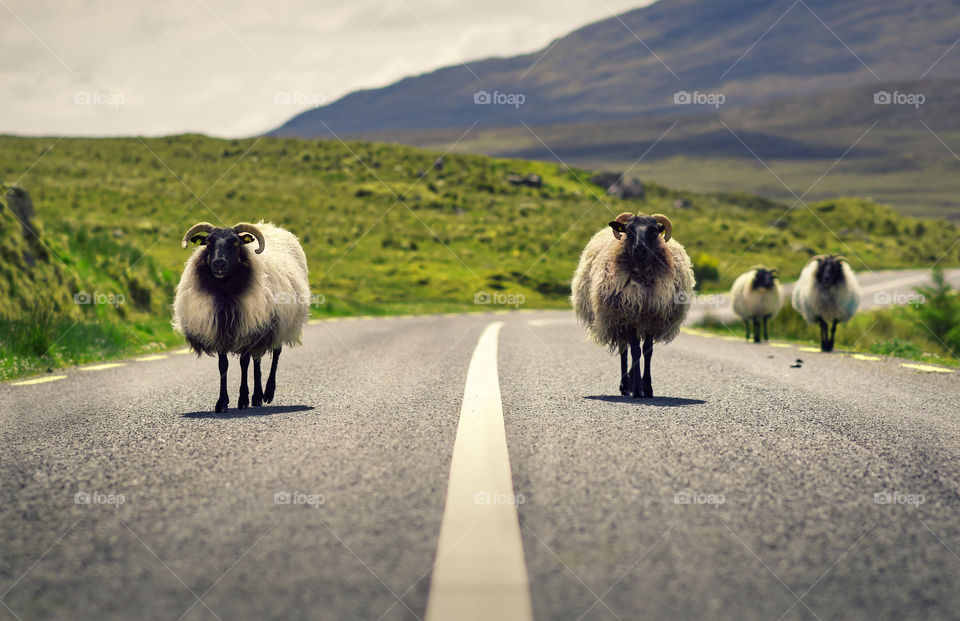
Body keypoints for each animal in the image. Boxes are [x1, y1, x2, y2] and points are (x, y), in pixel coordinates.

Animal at [171, 220, 310, 410]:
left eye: (236, 243)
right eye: (208, 242)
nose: (219, 264)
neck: (226, 293)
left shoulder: (247, 329)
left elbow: (244, 364)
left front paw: (243, 399)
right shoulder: (221, 331)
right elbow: (223, 366)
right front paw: (222, 402)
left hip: (281, 324)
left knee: (275, 354)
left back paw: (267, 393)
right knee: (257, 360)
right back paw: (257, 397)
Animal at [572, 212, 692, 398]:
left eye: (654, 230)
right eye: (628, 231)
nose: (640, 249)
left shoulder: (652, 318)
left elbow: (647, 351)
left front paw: (647, 388)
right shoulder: (628, 316)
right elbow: (635, 351)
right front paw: (636, 389)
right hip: (618, 321)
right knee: (625, 351)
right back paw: (625, 385)